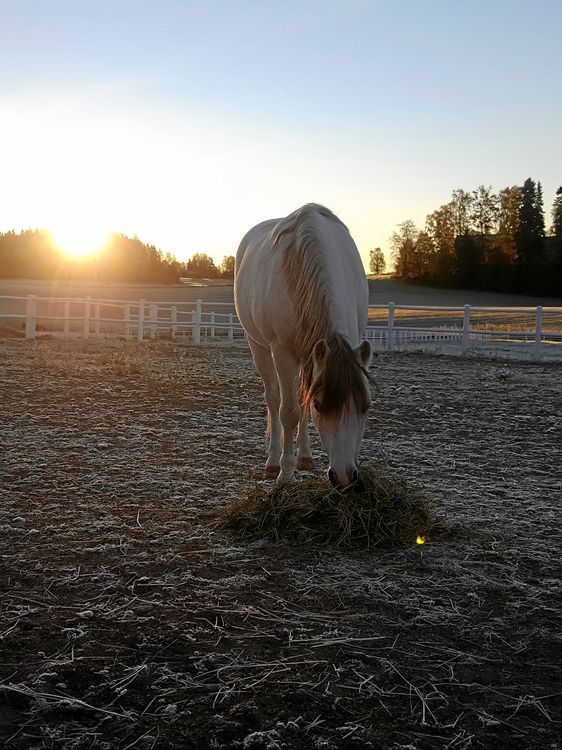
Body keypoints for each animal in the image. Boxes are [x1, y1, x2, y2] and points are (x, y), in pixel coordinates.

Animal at [234, 203, 372, 488]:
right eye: (321, 405)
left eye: (365, 406)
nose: (345, 477)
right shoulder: (282, 352)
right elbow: (289, 411)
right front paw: (286, 473)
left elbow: (302, 404)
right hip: (259, 347)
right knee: (274, 399)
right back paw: (273, 461)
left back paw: (305, 456)